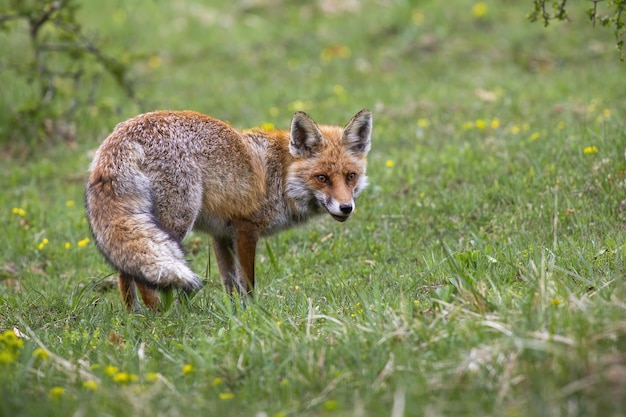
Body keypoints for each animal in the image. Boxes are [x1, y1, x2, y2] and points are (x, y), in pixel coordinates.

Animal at [83, 109, 370, 310]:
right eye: (322, 178)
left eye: (351, 177)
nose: (346, 208)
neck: (280, 176)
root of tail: (121, 135)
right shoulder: (246, 228)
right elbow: (248, 282)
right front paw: (253, 313)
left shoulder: (220, 235)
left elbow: (230, 283)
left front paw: (235, 314)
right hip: (174, 224)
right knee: (143, 275)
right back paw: (158, 315)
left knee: (125, 271)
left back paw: (134, 316)